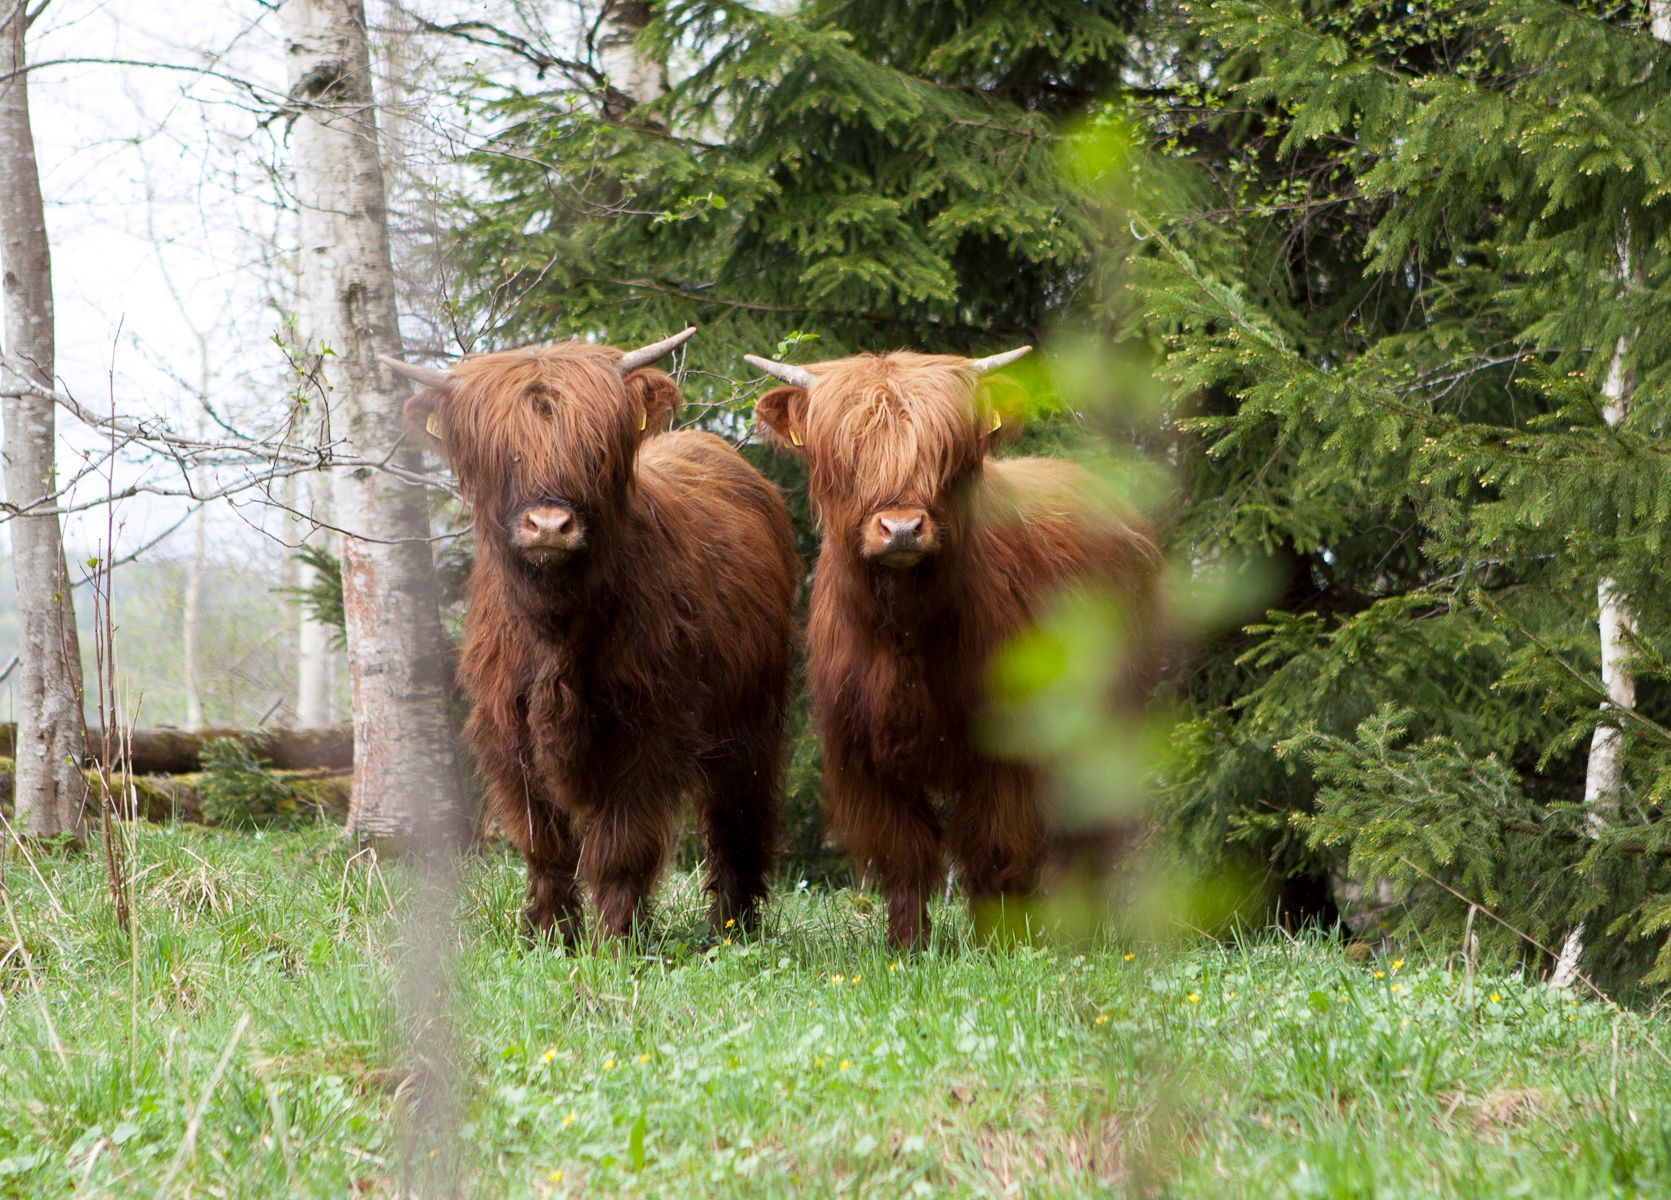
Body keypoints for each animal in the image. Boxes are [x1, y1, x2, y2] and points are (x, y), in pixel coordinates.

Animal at [385, 329, 800, 945]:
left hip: (750, 715)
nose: (549, 526)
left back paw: (733, 924)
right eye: (501, 453)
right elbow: (543, 845)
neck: (556, 628)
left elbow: (621, 846)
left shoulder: (647, 729)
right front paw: (550, 935)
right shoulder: (506, 732)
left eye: (593, 450)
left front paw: (615, 940)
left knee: (738, 816)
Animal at [745, 346, 1162, 950]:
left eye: (943, 452)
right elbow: (904, 852)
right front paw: (906, 946)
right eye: (848, 454)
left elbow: (993, 848)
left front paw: (1001, 943)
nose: (900, 528)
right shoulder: (861, 752)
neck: (906, 636)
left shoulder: (1006, 749)